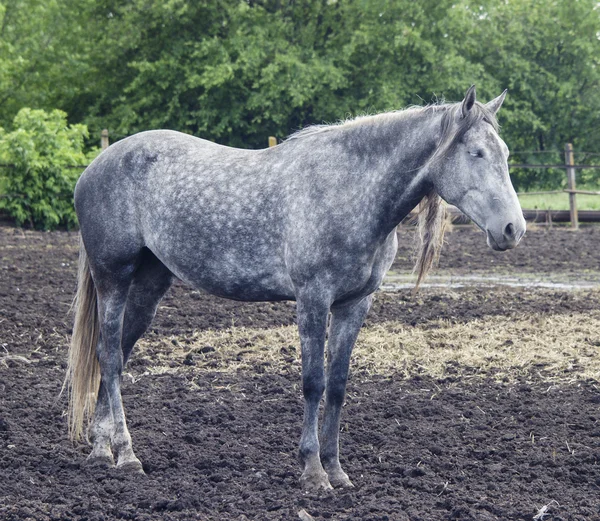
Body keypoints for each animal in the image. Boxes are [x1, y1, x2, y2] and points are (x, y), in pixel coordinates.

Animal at [67, 84, 524, 488]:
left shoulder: (354, 304)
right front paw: (313, 472)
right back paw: (126, 455)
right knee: (109, 356)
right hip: (113, 276)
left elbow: (337, 385)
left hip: (148, 286)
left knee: (116, 355)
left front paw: (337, 471)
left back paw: (101, 448)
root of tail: (96, 164)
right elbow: (313, 382)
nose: (512, 229)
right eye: (476, 152)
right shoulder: (312, 299)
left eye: (504, 153)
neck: (349, 188)